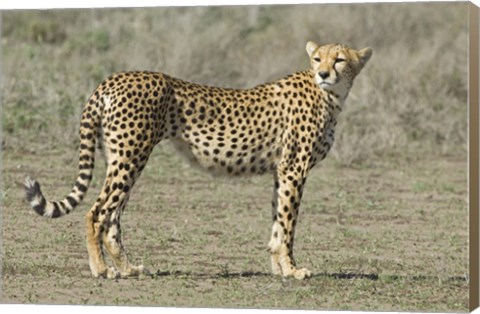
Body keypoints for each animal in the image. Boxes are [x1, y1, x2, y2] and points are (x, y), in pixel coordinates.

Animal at [24, 41, 374, 280]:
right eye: (317, 58)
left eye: (339, 59)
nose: (324, 73)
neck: (331, 95)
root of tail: (114, 78)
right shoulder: (294, 170)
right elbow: (288, 224)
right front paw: (292, 270)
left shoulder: (281, 171)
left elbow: (278, 222)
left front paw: (278, 268)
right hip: (130, 156)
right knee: (97, 213)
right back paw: (101, 269)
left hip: (122, 157)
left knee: (112, 218)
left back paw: (128, 268)